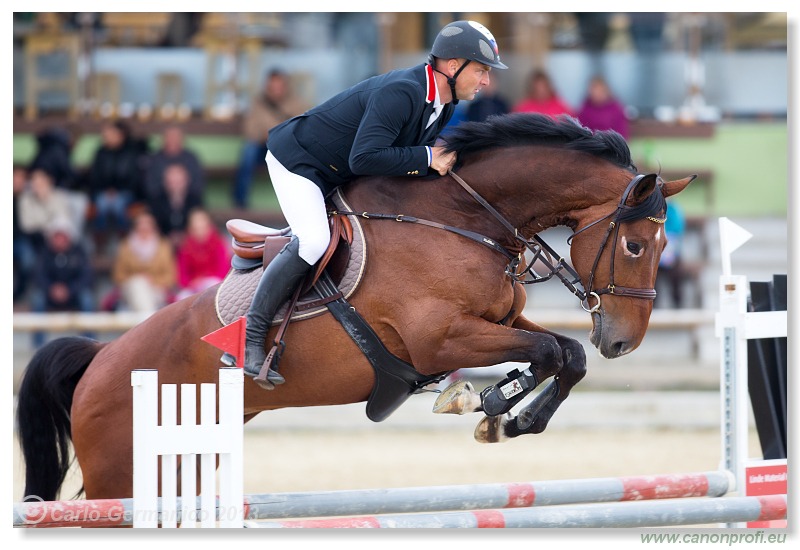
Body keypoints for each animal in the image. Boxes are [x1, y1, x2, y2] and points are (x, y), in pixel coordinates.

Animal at [17, 113, 692, 504]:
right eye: (635, 246)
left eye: (663, 247)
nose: (624, 342)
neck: (463, 217)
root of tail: (99, 359)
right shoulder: (440, 338)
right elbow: (552, 349)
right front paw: (490, 404)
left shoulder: (498, 322)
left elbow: (566, 353)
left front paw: (502, 412)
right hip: (121, 474)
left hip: (179, 462)